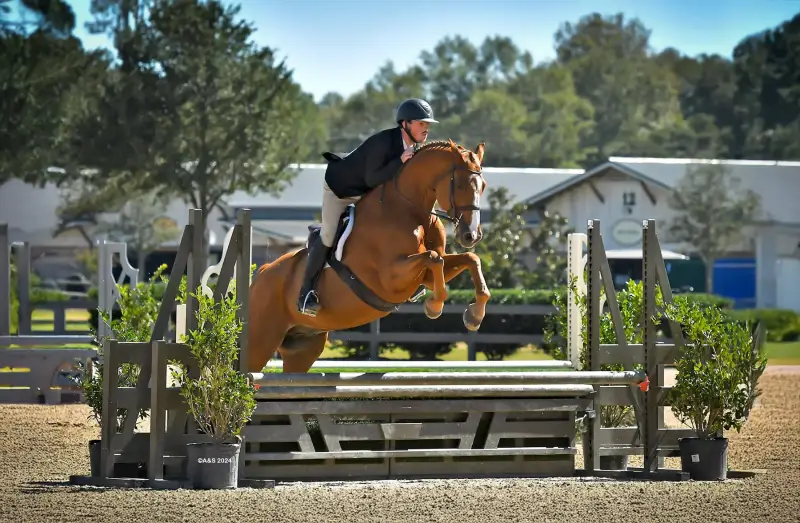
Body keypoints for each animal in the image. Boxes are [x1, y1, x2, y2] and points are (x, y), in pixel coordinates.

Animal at [246, 138, 491, 373]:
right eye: (460, 185)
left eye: (483, 186)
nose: (471, 236)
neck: (409, 210)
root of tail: (262, 273)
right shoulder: (391, 278)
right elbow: (433, 258)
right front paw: (434, 307)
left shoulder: (425, 277)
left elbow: (469, 260)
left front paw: (474, 316)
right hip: (260, 342)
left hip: (303, 346)